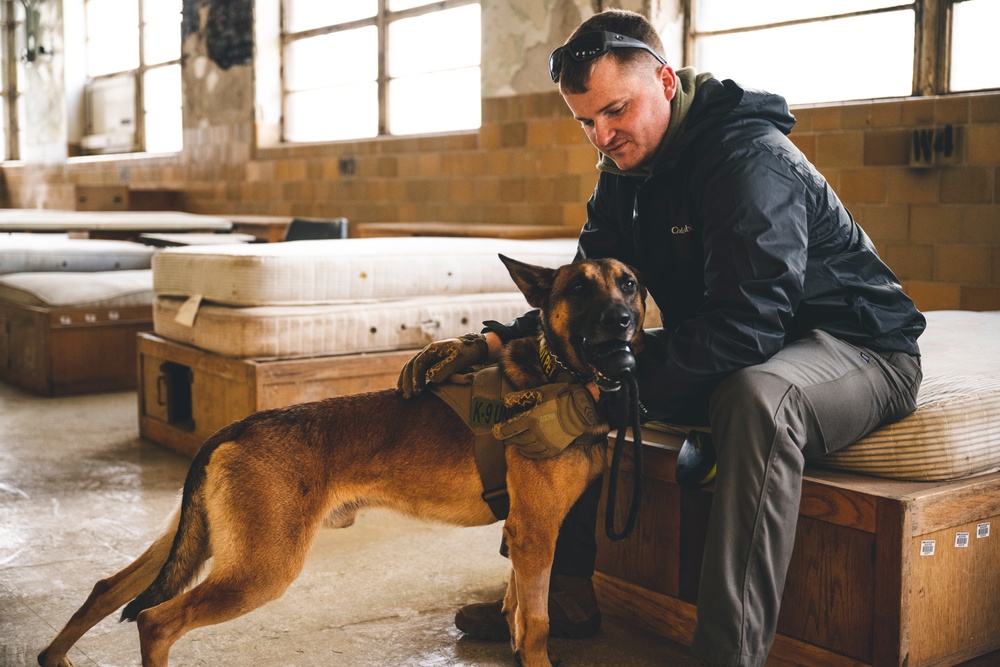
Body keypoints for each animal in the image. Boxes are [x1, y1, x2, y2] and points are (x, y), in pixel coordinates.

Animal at [39, 254, 644, 667]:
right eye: (579, 288)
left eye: (630, 284)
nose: (621, 321)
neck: (558, 372)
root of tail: (236, 427)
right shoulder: (537, 531)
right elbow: (537, 620)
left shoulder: (522, 535)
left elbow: (518, 609)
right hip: (260, 569)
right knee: (155, 620)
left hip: (196, 542)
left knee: (108, 587)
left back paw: (55, 655)